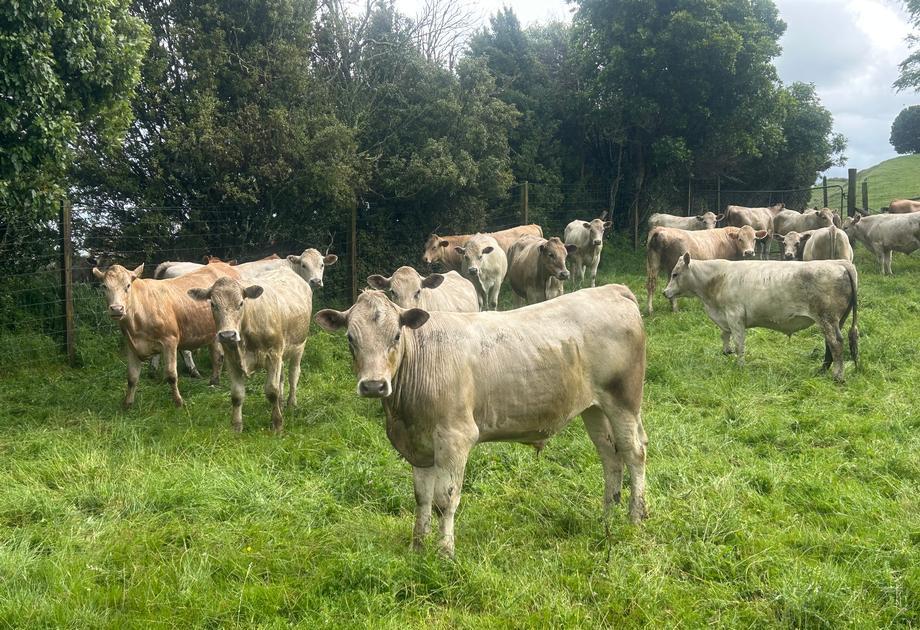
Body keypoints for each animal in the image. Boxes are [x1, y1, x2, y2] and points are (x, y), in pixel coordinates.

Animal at [92, 262, 241, 407]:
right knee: (217, 356)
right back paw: (213, 382)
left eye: (128, 285)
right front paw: (127, 404)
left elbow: (171, 375)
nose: (117, 309)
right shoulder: (131, 345)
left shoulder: (170, 341)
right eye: (104, 286)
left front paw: (178, 402)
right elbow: (132, 377)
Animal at [188, 267, 312, 432]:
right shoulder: (231, 359)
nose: (227, 335)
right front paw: (236, 427)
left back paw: (291, 403)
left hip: (299, 346)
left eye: (241, 303)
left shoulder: (273, 354)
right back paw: (280, 403)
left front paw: (277, 424)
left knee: (294, 374)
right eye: (213, 304)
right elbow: (237, 395)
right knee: (282, 377)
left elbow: (272, 391)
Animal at [314, 284, 648, 556]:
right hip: (594, 409)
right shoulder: (419, 446)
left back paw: (635, 518)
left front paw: (445, 552)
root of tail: (611, 289)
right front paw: (417, 547)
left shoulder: (455, 437)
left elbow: (445, 500)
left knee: (634, 453)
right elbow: (422, 498)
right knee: (610, 456)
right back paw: (607, 516)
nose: (373, 385)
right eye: (350, 339)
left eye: (396, 335)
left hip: (623, 401)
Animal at [663, 255, 858, 381]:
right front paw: (726, 351)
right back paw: (822, 370)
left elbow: (739, 344)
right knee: (829, 345)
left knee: (835, 344)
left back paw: (837, 376)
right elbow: (724, 335)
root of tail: (840, 262)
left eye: (675, 274)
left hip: (827, 318)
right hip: (835, 320)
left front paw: (739, 366)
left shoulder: (735, 316)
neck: (719, 279)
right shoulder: (726, 318)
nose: (665, 292)